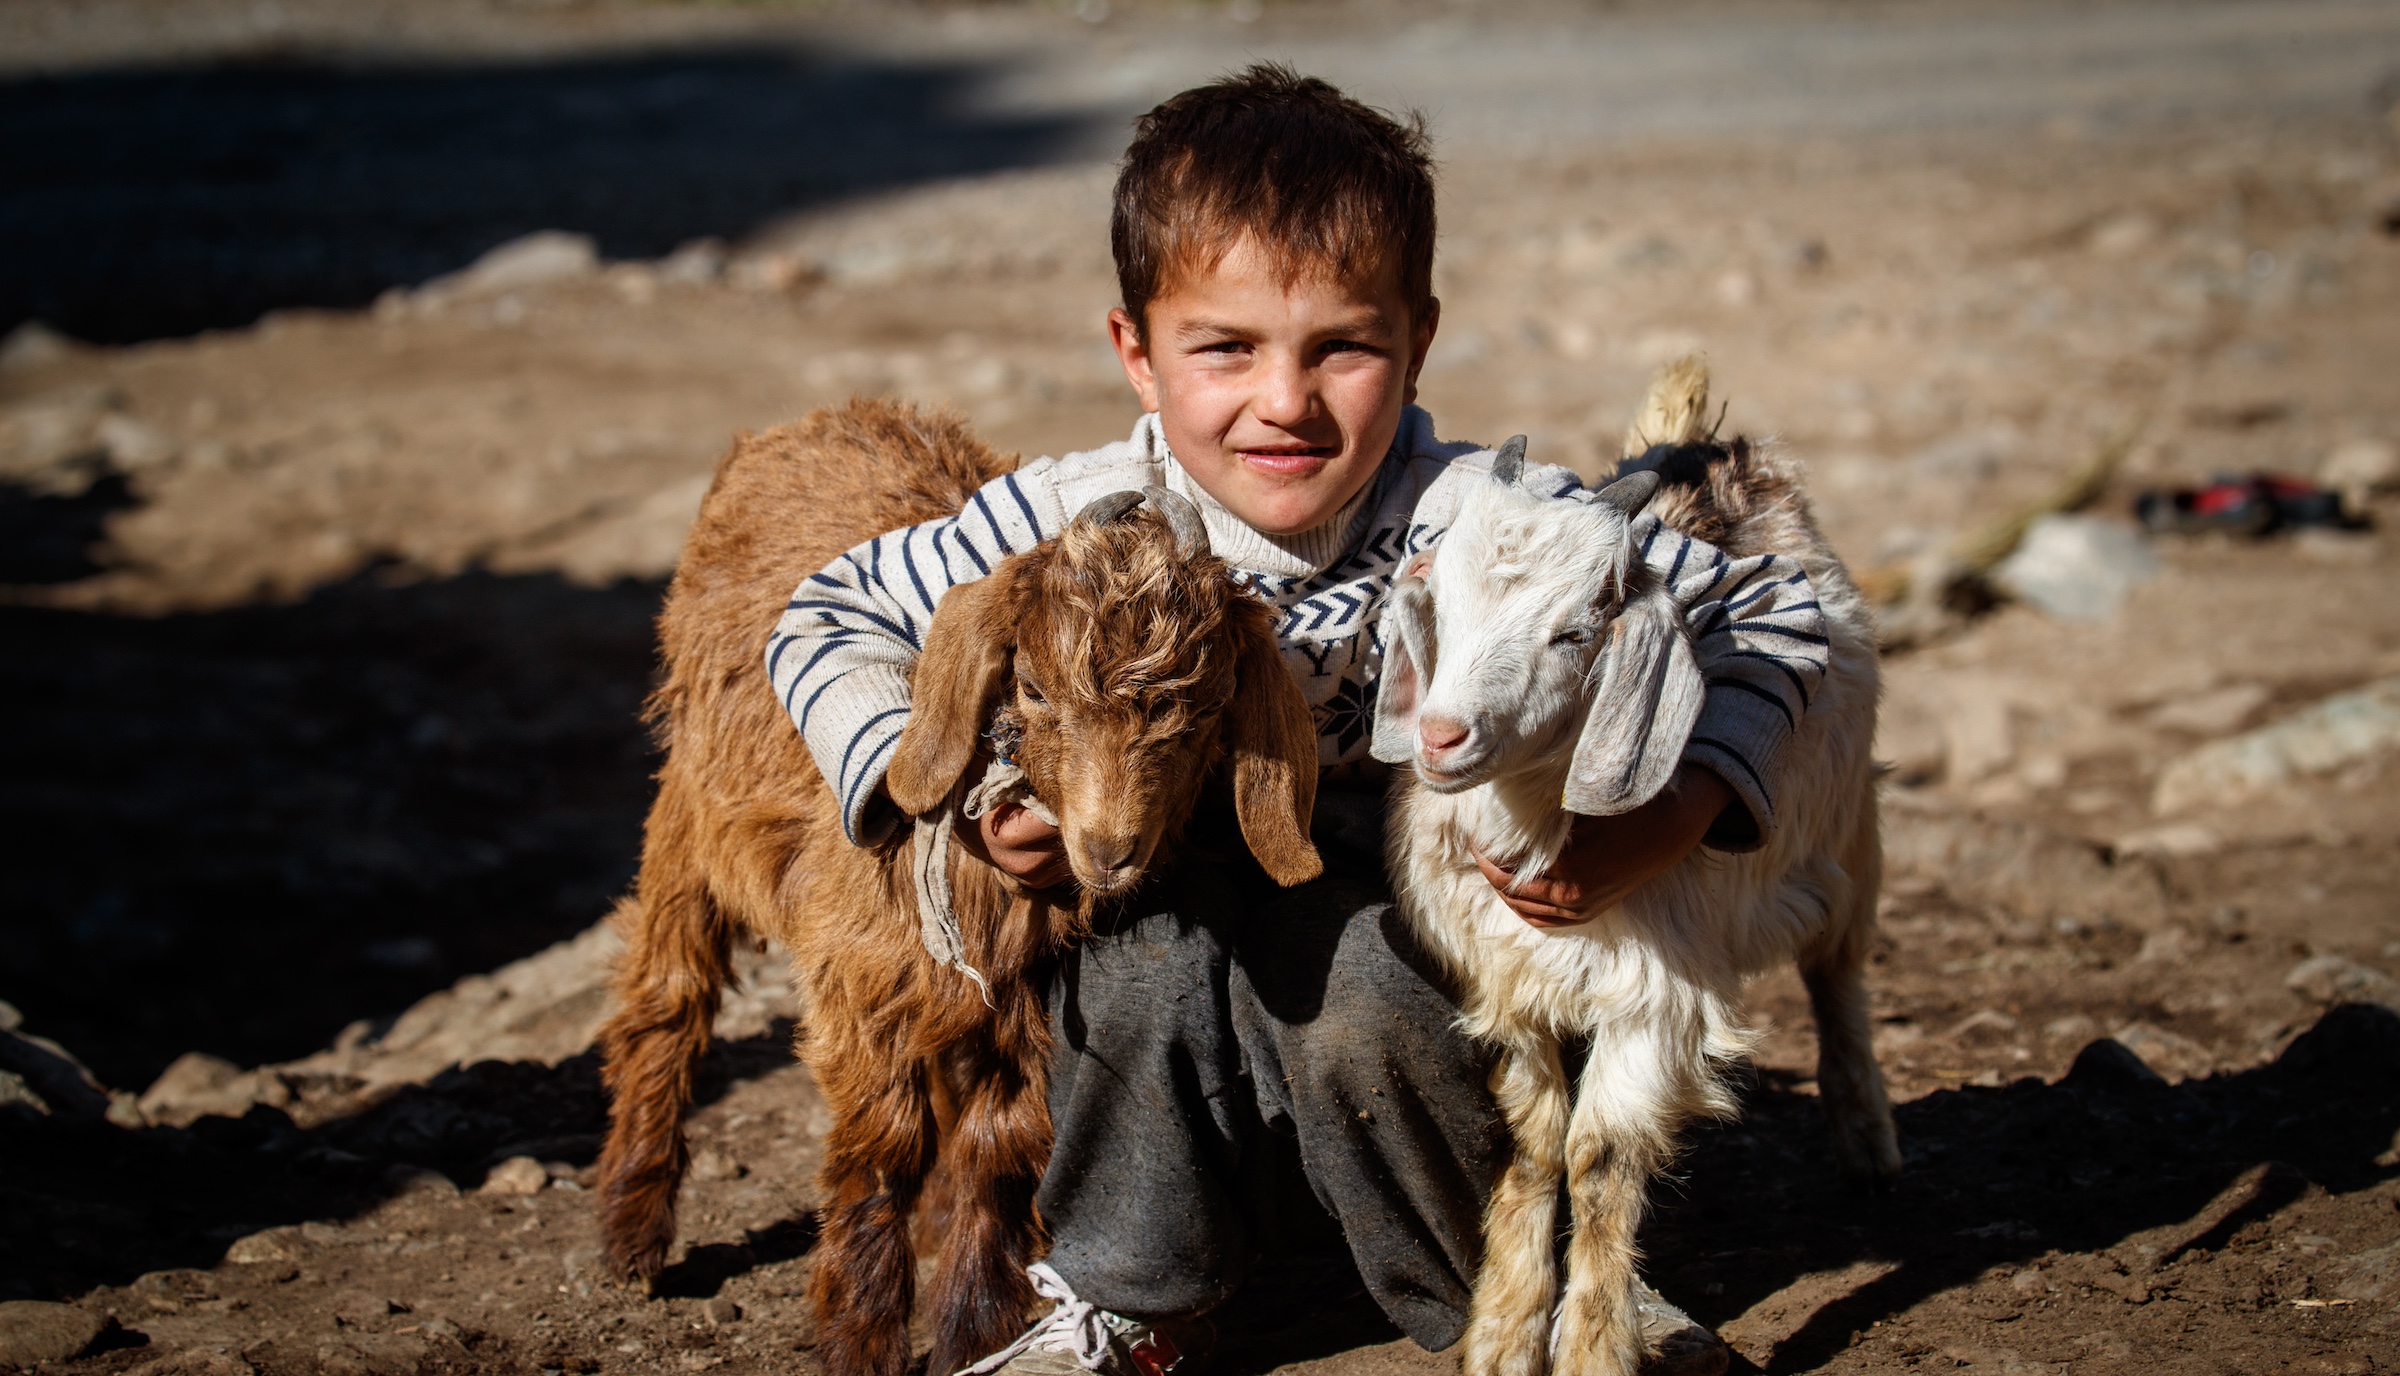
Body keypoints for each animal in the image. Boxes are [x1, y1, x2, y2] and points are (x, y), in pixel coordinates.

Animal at [595, 399, 1323, 1376]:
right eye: (1034, 689)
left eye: (1204, 709)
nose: (1109, 849)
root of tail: (819, 418)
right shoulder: (865, 973)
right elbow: (882, 1146)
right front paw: (860, 1339)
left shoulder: (1027, 996)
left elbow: (996, 1142)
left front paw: (975, 1321)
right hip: (689, 813)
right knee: (666, 996)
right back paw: (631, 1235)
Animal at [1371, 361, 1900, 1376]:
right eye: (1438, 601)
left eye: (1576, 633)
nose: (1442, 737)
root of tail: (1717, 453)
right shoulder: (1507, 980)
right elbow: (1534, 1143)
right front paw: (1503, 1332)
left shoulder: (1658, 995)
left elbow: (1601, 1159)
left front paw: (1592, 1348)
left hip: (1848, 836)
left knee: (1839, 977)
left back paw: (1869, 1146)